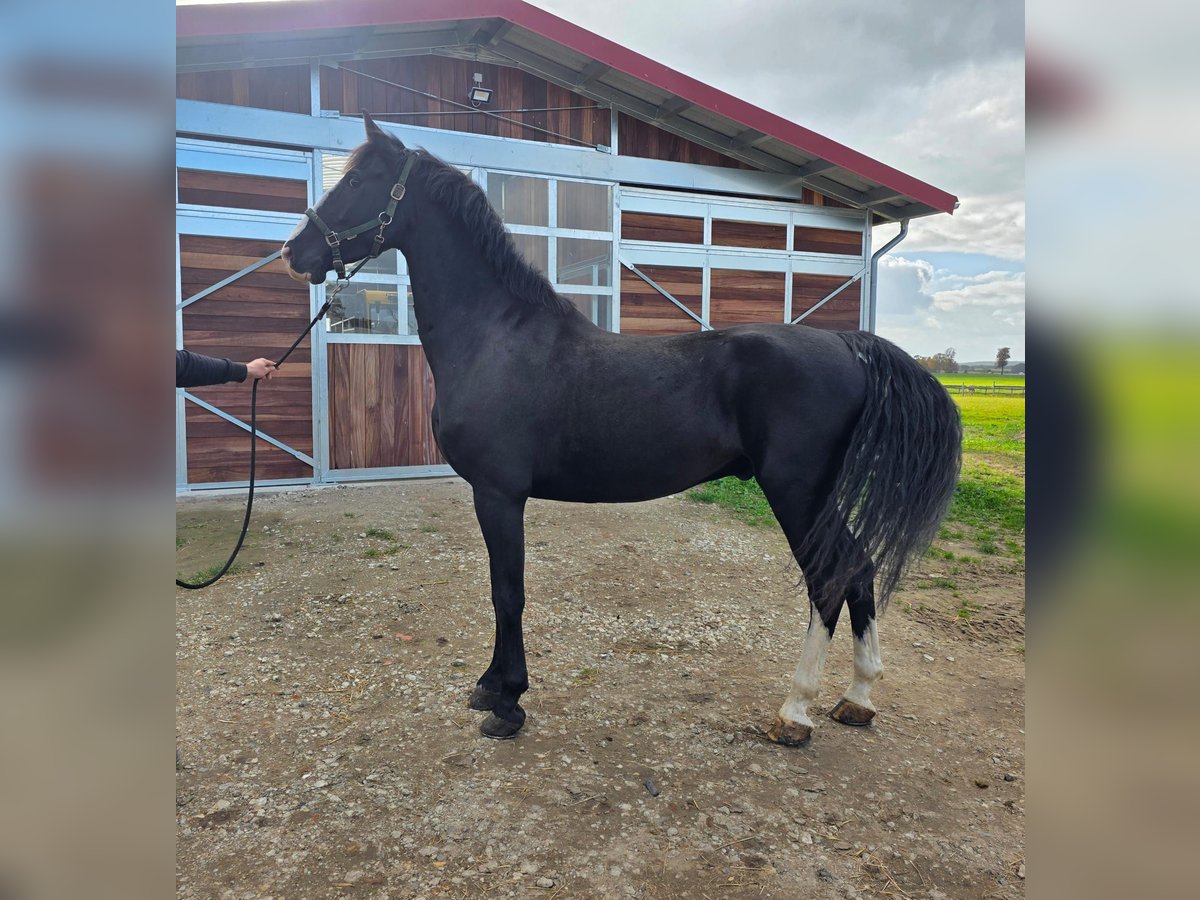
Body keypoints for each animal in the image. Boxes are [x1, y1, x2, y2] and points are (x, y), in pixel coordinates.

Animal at [281, 113, 961, 744]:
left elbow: (508, 591)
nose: (295, 252)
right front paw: (490, 687)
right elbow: (502, 589)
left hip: (798, 492)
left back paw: (795, 711)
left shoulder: (499, 494)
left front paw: (509, 703)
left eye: (360, 180)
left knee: (829, 579)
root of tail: (849, 345)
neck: (496, 335)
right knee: (860, 569)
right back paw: (857, 698)